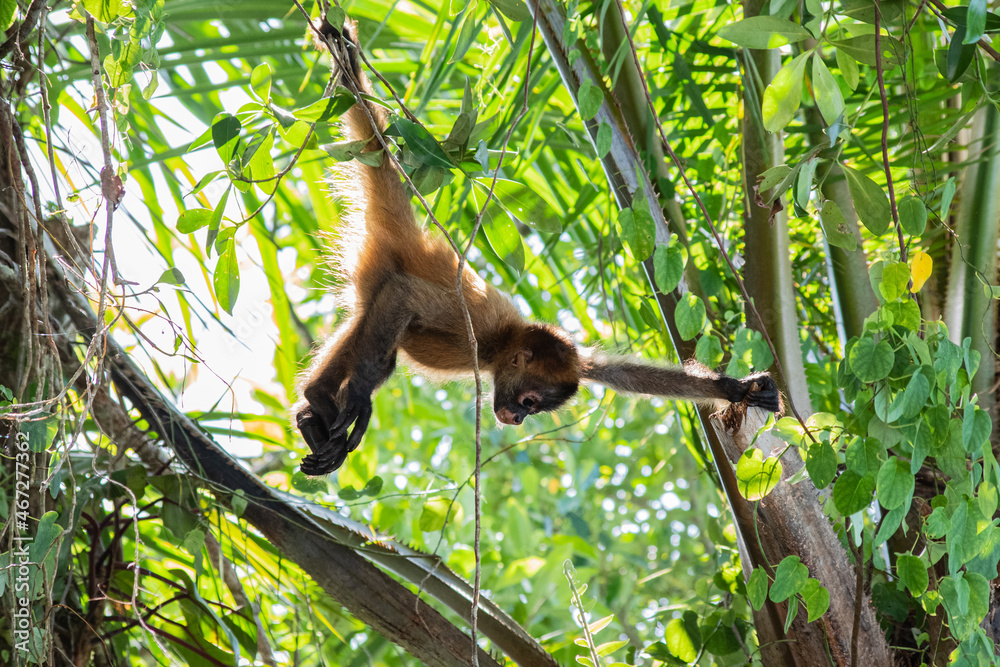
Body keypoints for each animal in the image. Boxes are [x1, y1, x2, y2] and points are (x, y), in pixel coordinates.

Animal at [293, 18, 782, 476]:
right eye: (529, 401)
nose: (516, 419)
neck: (503, 344)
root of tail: (410, 235)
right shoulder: (478, 328)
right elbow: (407, 295)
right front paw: (358, 403)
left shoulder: (576, 360)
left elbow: (623, 374)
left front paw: (734, 388)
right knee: (384, 331)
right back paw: (325, 401)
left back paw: (310, 413)